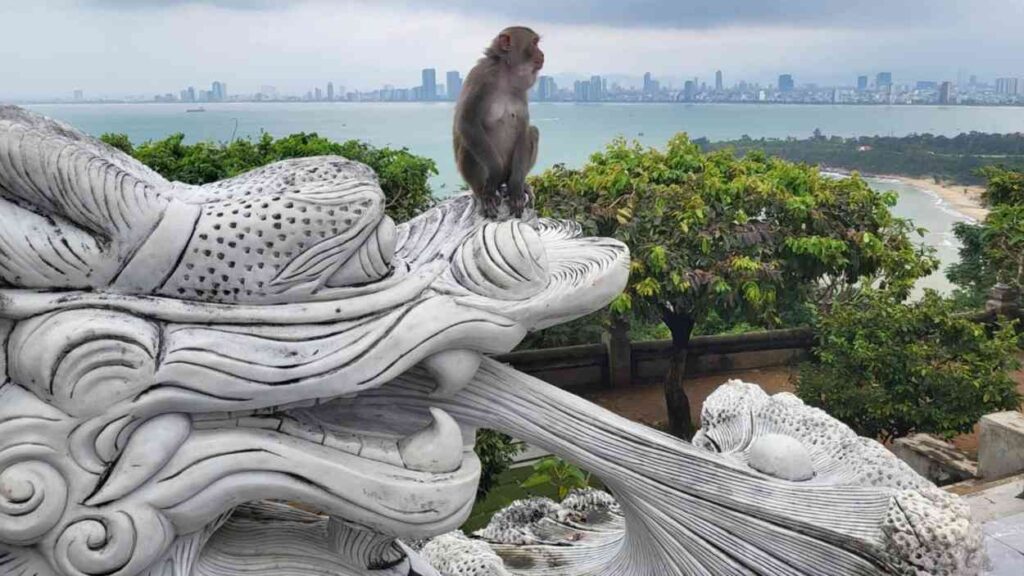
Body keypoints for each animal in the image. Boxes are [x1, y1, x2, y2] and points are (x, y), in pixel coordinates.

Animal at [453, 26, 544, 218]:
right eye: (534, 43)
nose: (542, 53)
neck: (505, 75)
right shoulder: (480, 76)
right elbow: (466, 122)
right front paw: (494, 172)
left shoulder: (521, 91)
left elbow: (523, 131)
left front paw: (516, 189)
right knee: (467, 143)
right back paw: (483, 193)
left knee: (533, 132)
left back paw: (518, 185)